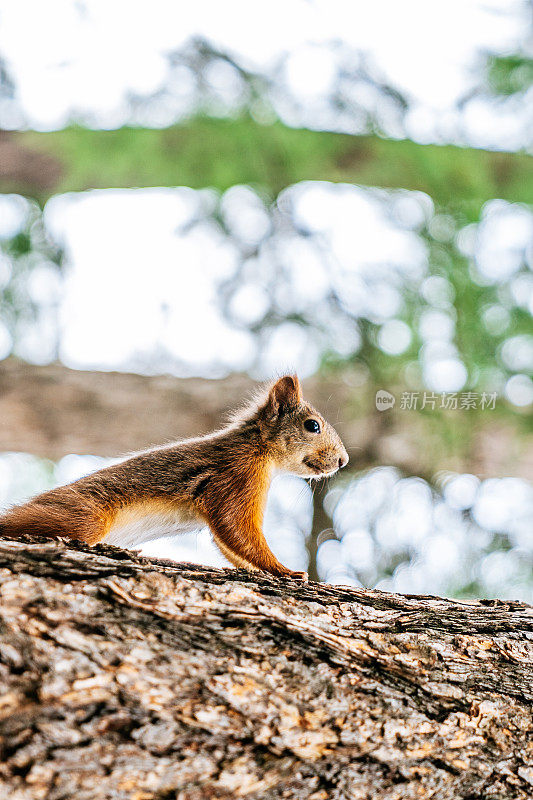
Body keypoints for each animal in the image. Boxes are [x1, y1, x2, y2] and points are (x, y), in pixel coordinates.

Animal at [0, 376, 348, 580]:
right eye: (312, 426)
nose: (343, 461)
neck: (256, 445)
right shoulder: (237, 473)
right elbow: (236, 527)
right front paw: (285, 570)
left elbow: (229, 543)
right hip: (84, 517)